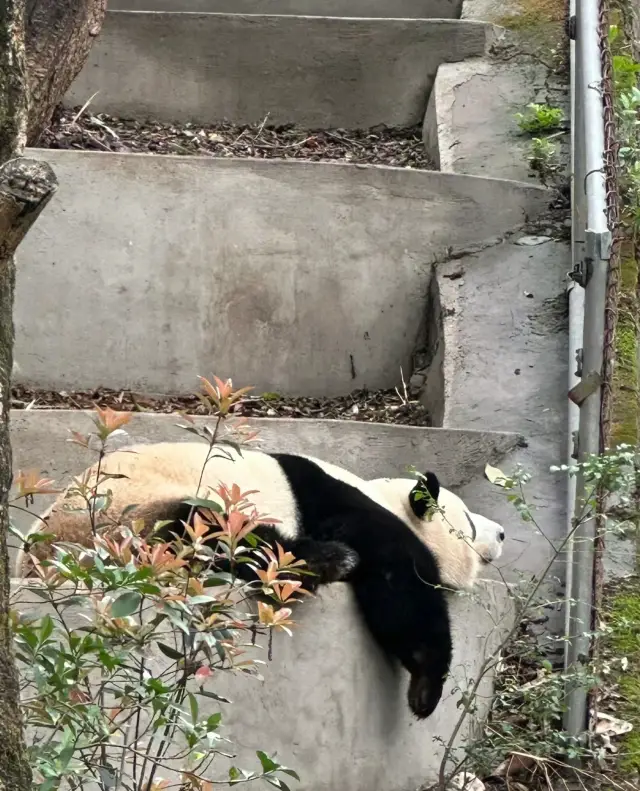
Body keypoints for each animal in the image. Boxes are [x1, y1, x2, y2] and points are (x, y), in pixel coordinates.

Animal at [13, 442, 504, 720]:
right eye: (468, 524)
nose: (500, 532)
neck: (382, 494)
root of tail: (45, 560)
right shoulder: (338, 504)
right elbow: (400, 582)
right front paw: (426, 688)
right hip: (126, 511)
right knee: (209, 529)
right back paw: (322, 562)